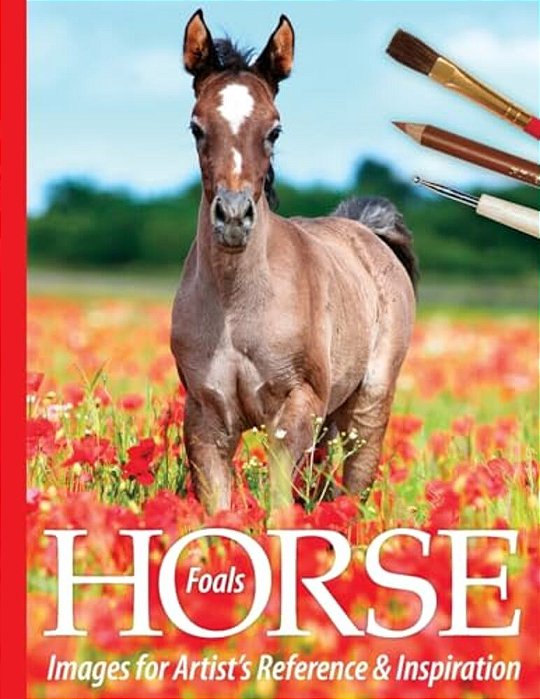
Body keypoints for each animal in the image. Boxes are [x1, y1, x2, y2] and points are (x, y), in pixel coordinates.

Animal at [171, 10, 418, 514]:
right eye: (196, 127)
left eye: (274, 130)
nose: (233, 218)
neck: (236, 308)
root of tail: (366, 231)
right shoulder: (206, 416)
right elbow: (219, 512)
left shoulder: (297, 407)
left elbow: (281, 505)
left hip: (369, 401)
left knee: (355, 481)